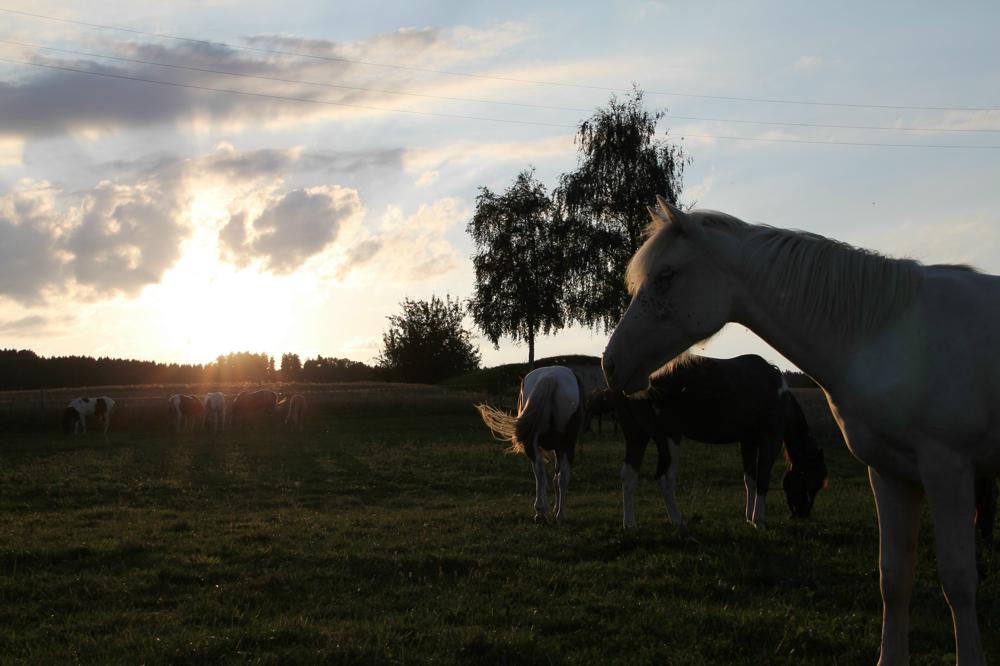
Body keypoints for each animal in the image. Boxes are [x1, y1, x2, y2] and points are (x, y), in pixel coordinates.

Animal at [476, 366, 584, 520]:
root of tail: (551, 377)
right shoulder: (561, 448)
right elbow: (557, 477)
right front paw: (557, 507)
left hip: (532, 443)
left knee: (539, 471)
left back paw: (540, 512)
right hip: (567, 444)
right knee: (562, 476)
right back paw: (560, 515)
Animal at [588, 352, 824, 528]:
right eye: (812, 481)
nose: (804, 514)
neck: (777, 393)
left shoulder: (747, 442)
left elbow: (750, 479)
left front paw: (749, 518)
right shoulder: (769, 441)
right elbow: (762, 479)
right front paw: (759, 521)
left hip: (638, 437)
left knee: (629, 475)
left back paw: (630, 524)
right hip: (669, 439)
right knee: (664, 477)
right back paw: (678, 521)